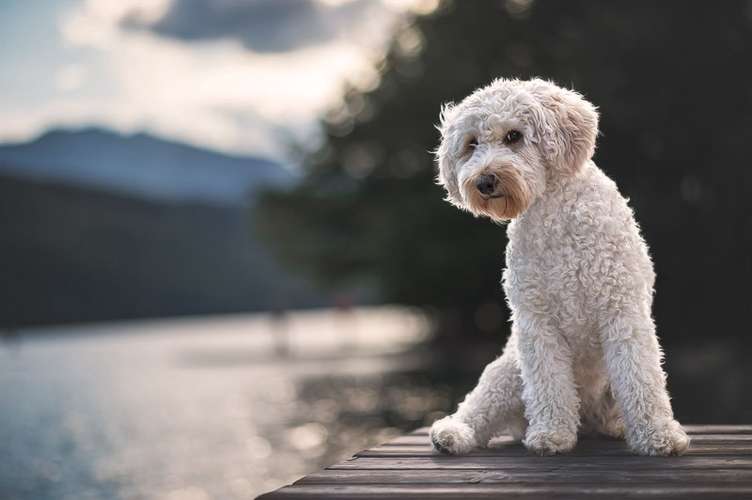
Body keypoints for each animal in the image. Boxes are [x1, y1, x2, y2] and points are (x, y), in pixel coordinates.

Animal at [432, 78, 692, 458]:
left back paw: (617, 426)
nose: (484, 181)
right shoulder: (537, 324)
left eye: (514, 136)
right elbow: (548, 384)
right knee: (477, 410)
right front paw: (551, 434)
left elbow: (640, 378)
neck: (553, 211)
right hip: (506, 372)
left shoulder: (622, 311)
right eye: (472, 144)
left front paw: (659, 435)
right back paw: (451, 434)